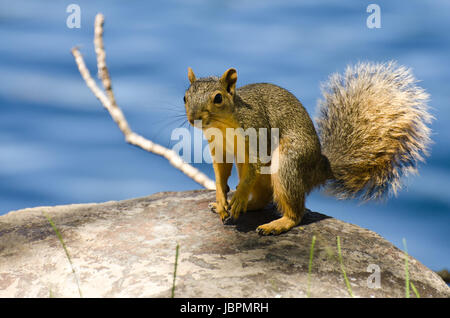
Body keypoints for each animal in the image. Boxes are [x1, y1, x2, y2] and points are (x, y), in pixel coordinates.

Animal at [184, 62, 432, 235]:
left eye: (218, 98)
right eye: (185, 96)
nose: (194, 118)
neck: (223, 126)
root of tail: (319, 168)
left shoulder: (257, 133)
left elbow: (253, 166)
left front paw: (237, 197)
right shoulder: (220, 149)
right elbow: (220, 174)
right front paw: (221, 200)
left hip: (288, 163)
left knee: (296, 211)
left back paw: (273, 221)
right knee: (264, 197)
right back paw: (243, 205)